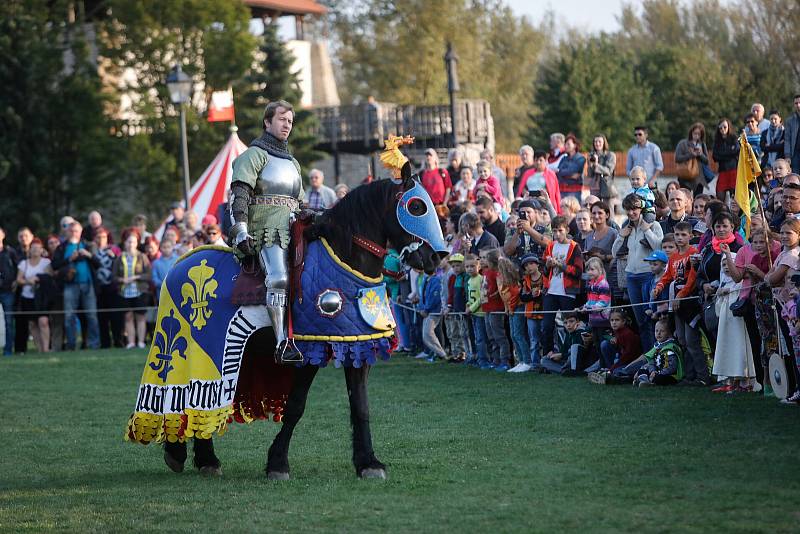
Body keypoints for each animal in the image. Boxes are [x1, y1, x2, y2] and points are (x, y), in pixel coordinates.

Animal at [162, 170, 444, 480]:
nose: (436, 257)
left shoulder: (355, 346)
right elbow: (296, 405)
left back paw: (204, 457)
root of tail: (180, 263)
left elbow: (360, 406)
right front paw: (277, 463)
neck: (344, 259)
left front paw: (368, 462)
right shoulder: (309, 350)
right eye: (416, 207)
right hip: (198, 349)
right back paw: (183, 451)